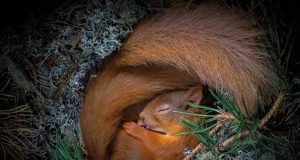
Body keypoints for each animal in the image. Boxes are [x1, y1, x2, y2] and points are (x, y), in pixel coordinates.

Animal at [81, 1, 278, 159]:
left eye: (164, 108)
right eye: (152, 99)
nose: (141, 117)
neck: (189, 123)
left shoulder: (183, 141)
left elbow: (159, 146)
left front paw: (132, 127)